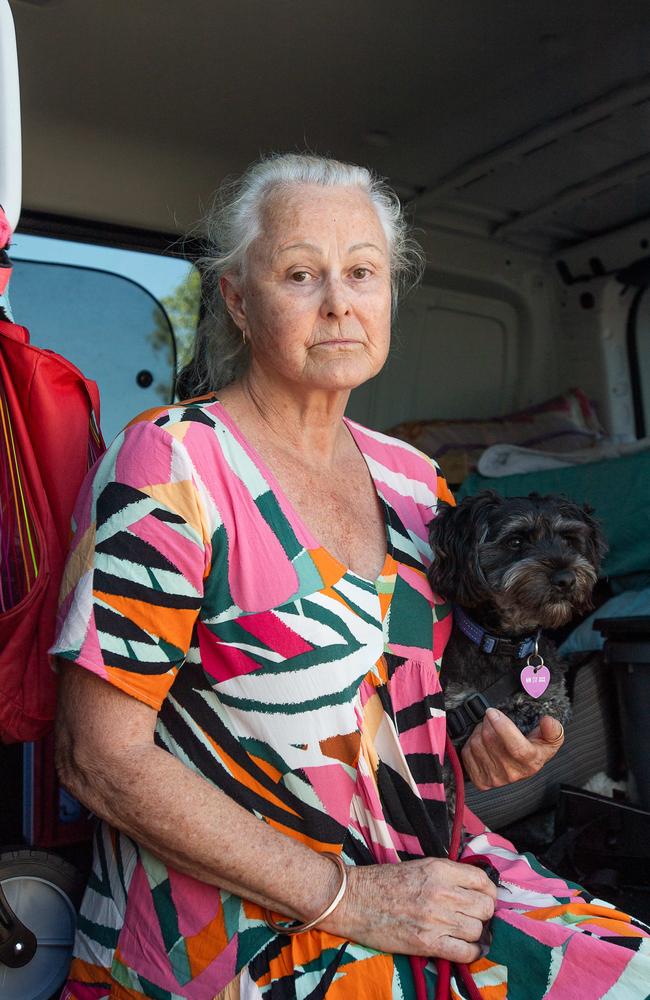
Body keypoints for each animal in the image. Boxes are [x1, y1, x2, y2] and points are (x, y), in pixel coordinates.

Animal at [428, 492, 604, 812]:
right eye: (516, 541)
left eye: (568, 539)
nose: (566, 578)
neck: (506, 643)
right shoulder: (452, 715)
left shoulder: (555, 699)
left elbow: (544, 707)